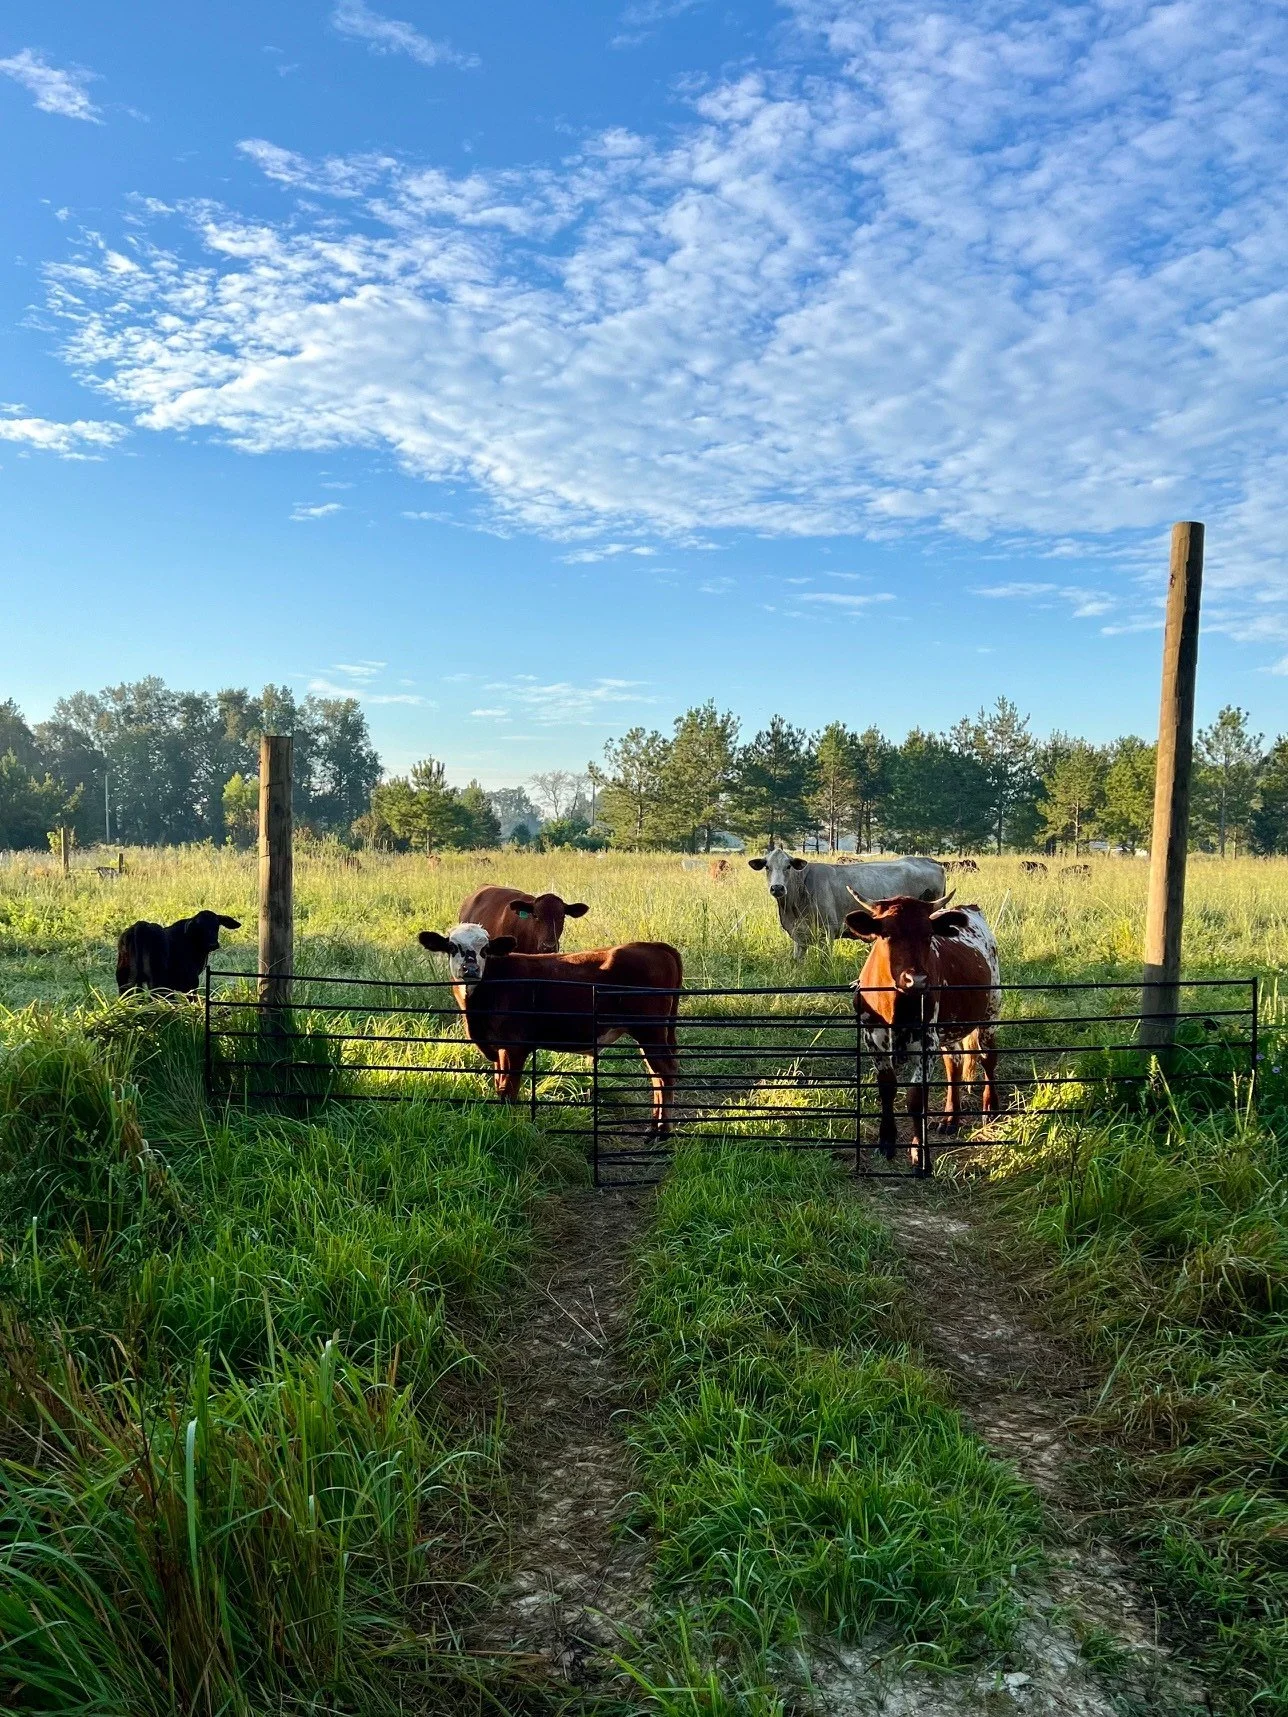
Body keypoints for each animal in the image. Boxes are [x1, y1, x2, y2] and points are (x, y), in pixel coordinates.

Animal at [418, 925, 682, 1137]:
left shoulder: (515, 1046)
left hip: (650, 1031)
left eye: (485, 949)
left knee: (666, 1071)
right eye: (452, 947)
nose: (470, 969)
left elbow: (509, 1090)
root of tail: (653, 946)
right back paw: (655, 1125)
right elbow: (499, 1084)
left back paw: (663, 1130)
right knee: (656, 1075)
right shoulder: (499, 1047)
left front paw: (508, 1126)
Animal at [748, 846, 948, 960]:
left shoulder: (827, 931)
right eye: (767, 867)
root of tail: (928, 860)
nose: (777, 888)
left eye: (788, 866)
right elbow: (797, 961)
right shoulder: (799, 935)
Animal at [842, 893, 1000, 1169]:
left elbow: (916, 1099)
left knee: (987, 1058)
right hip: (949, 1028)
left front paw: (920, 1152)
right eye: (887, 934)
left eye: (928, 935)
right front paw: (887, 1141)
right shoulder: (873, 1039)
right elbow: (887, 1088)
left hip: (990, 1012)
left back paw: (991, 1107)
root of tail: (969, 908)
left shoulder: (926, 1042)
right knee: (954, 1063)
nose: (915, 980)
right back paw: (950, 1119)